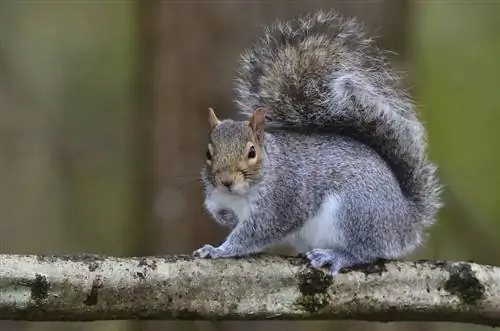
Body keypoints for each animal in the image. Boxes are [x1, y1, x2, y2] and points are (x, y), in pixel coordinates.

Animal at [191, 10, 442, 276]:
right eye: (208, 153)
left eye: (252, 152)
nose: (226, 180)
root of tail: (405, 220)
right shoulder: (216, 196)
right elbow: (218, 210)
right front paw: (225, 218)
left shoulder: (283, 202)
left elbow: (256, 232)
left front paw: (219, 250)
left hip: (355, 211)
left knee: (365, 251)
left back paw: (336, 256)